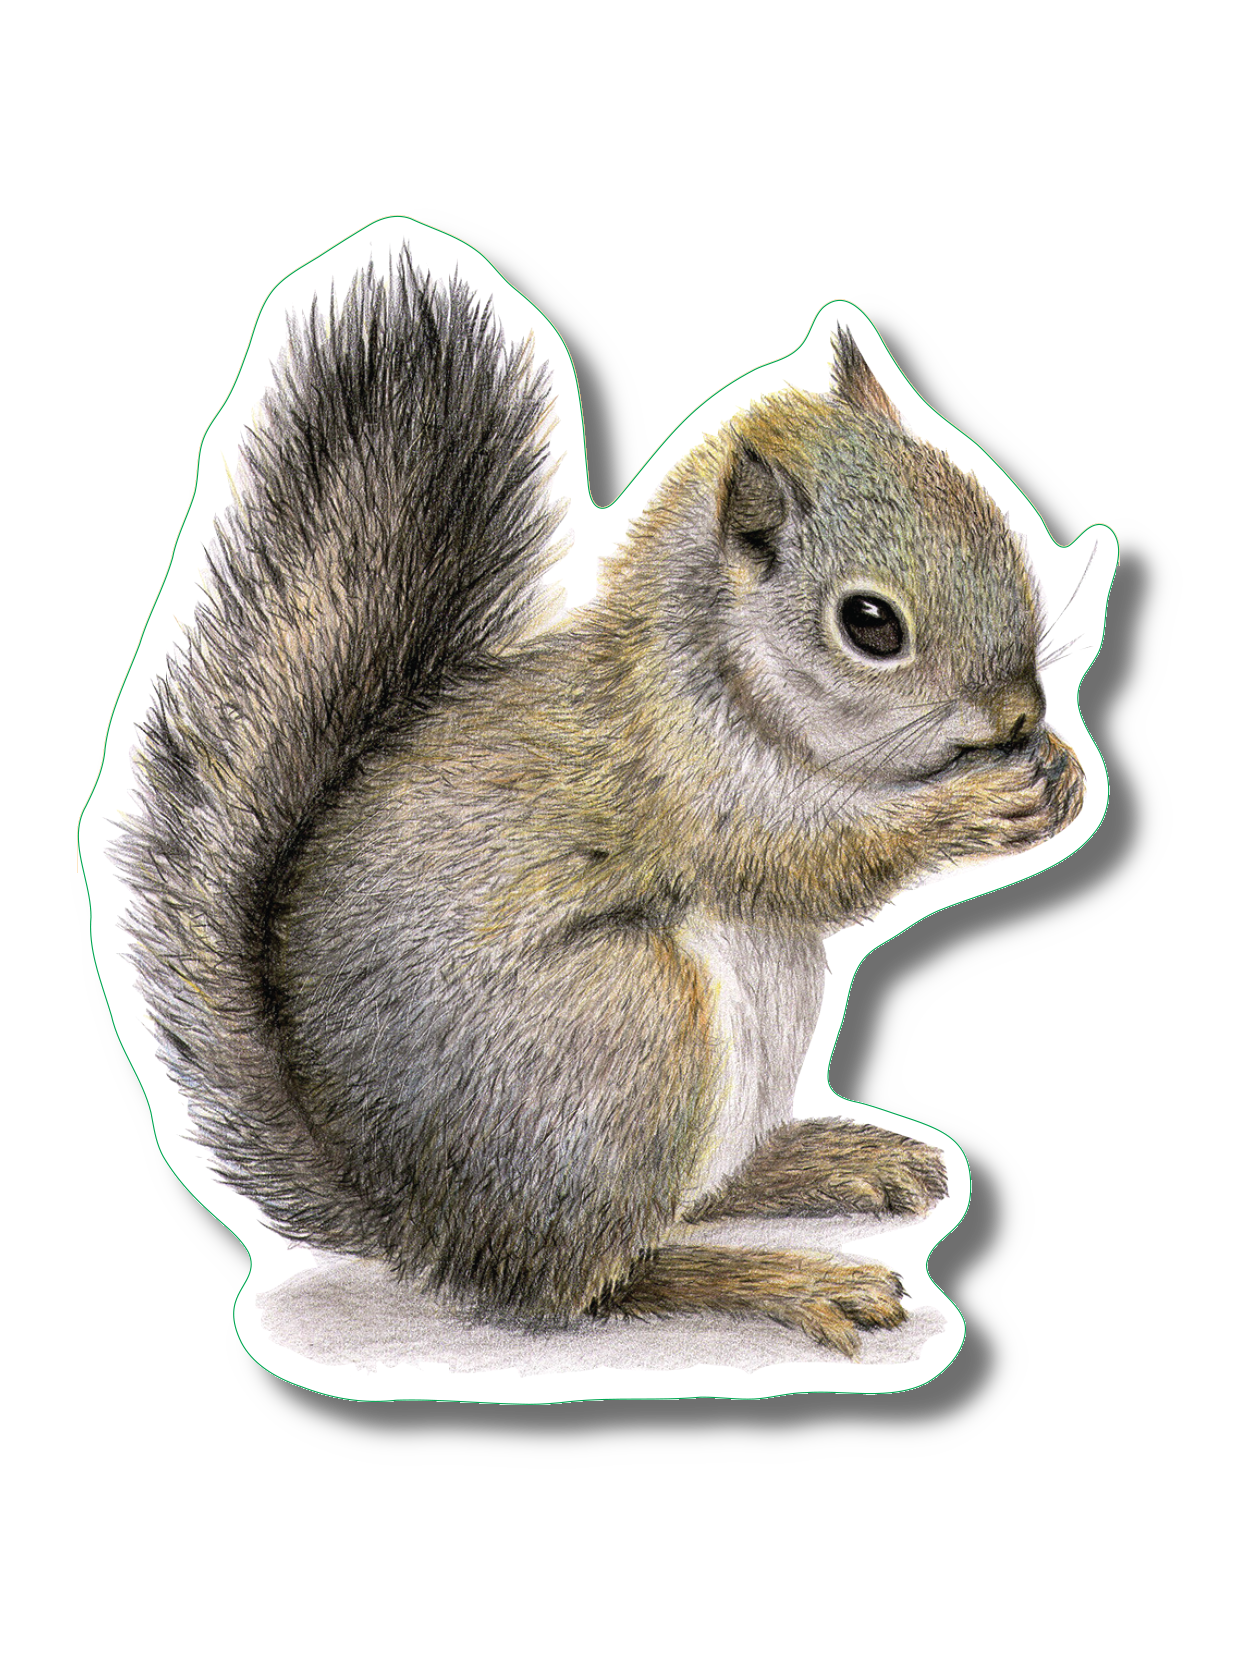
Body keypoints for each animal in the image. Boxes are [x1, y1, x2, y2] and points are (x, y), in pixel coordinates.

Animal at [122, 251, 1084, 1358]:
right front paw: (972, 806)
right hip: (626, 1030)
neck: (720, 671)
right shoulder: (685, 779)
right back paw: (782, 1279)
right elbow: (806, 858)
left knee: (685, 1203)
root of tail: (416, 1223)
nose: (1019, 712)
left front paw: (1061, 771)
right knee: (591, 1283)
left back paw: (824, 1163)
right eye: (871, 624)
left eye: (995, 523)